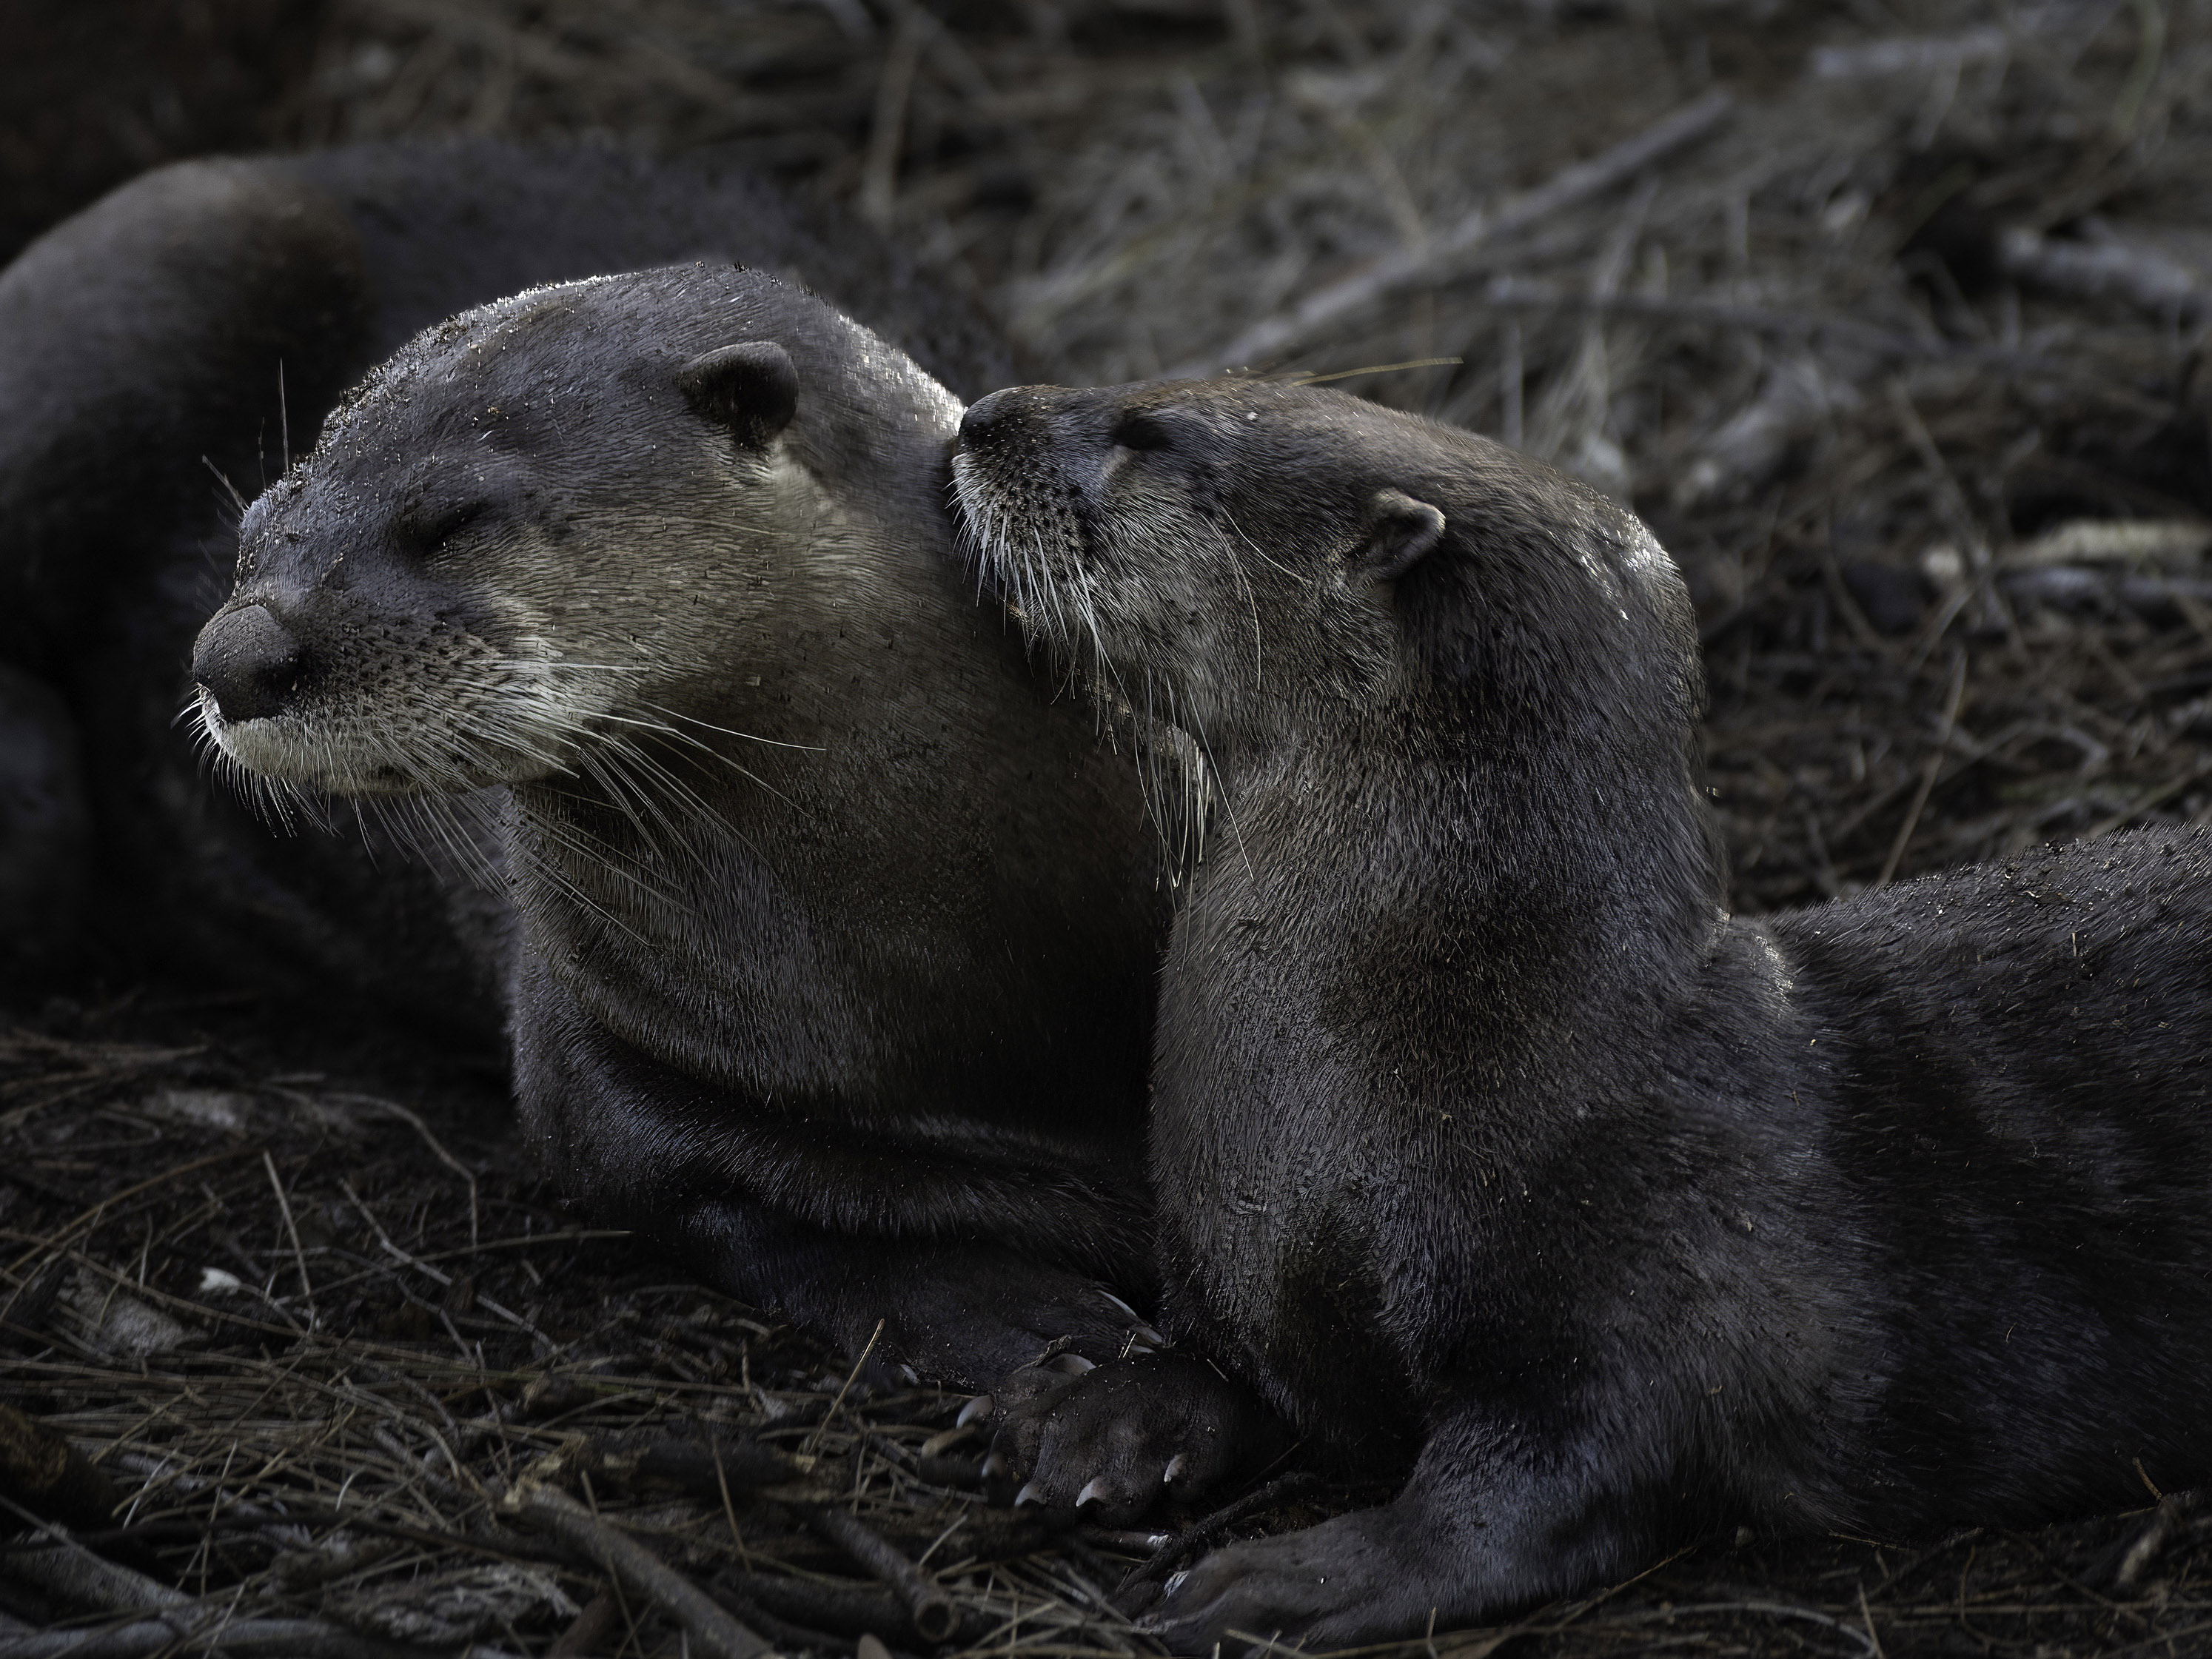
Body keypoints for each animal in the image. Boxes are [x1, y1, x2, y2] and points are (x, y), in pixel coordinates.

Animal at [952, 376, 2212, 1649]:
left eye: (1152, 432)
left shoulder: (1642, 1296)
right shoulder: (1263, 1269)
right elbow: (1234, 1363)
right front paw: (1090, 1413)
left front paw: (1286, 1576)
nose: (981, 417)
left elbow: (1542, 1486)